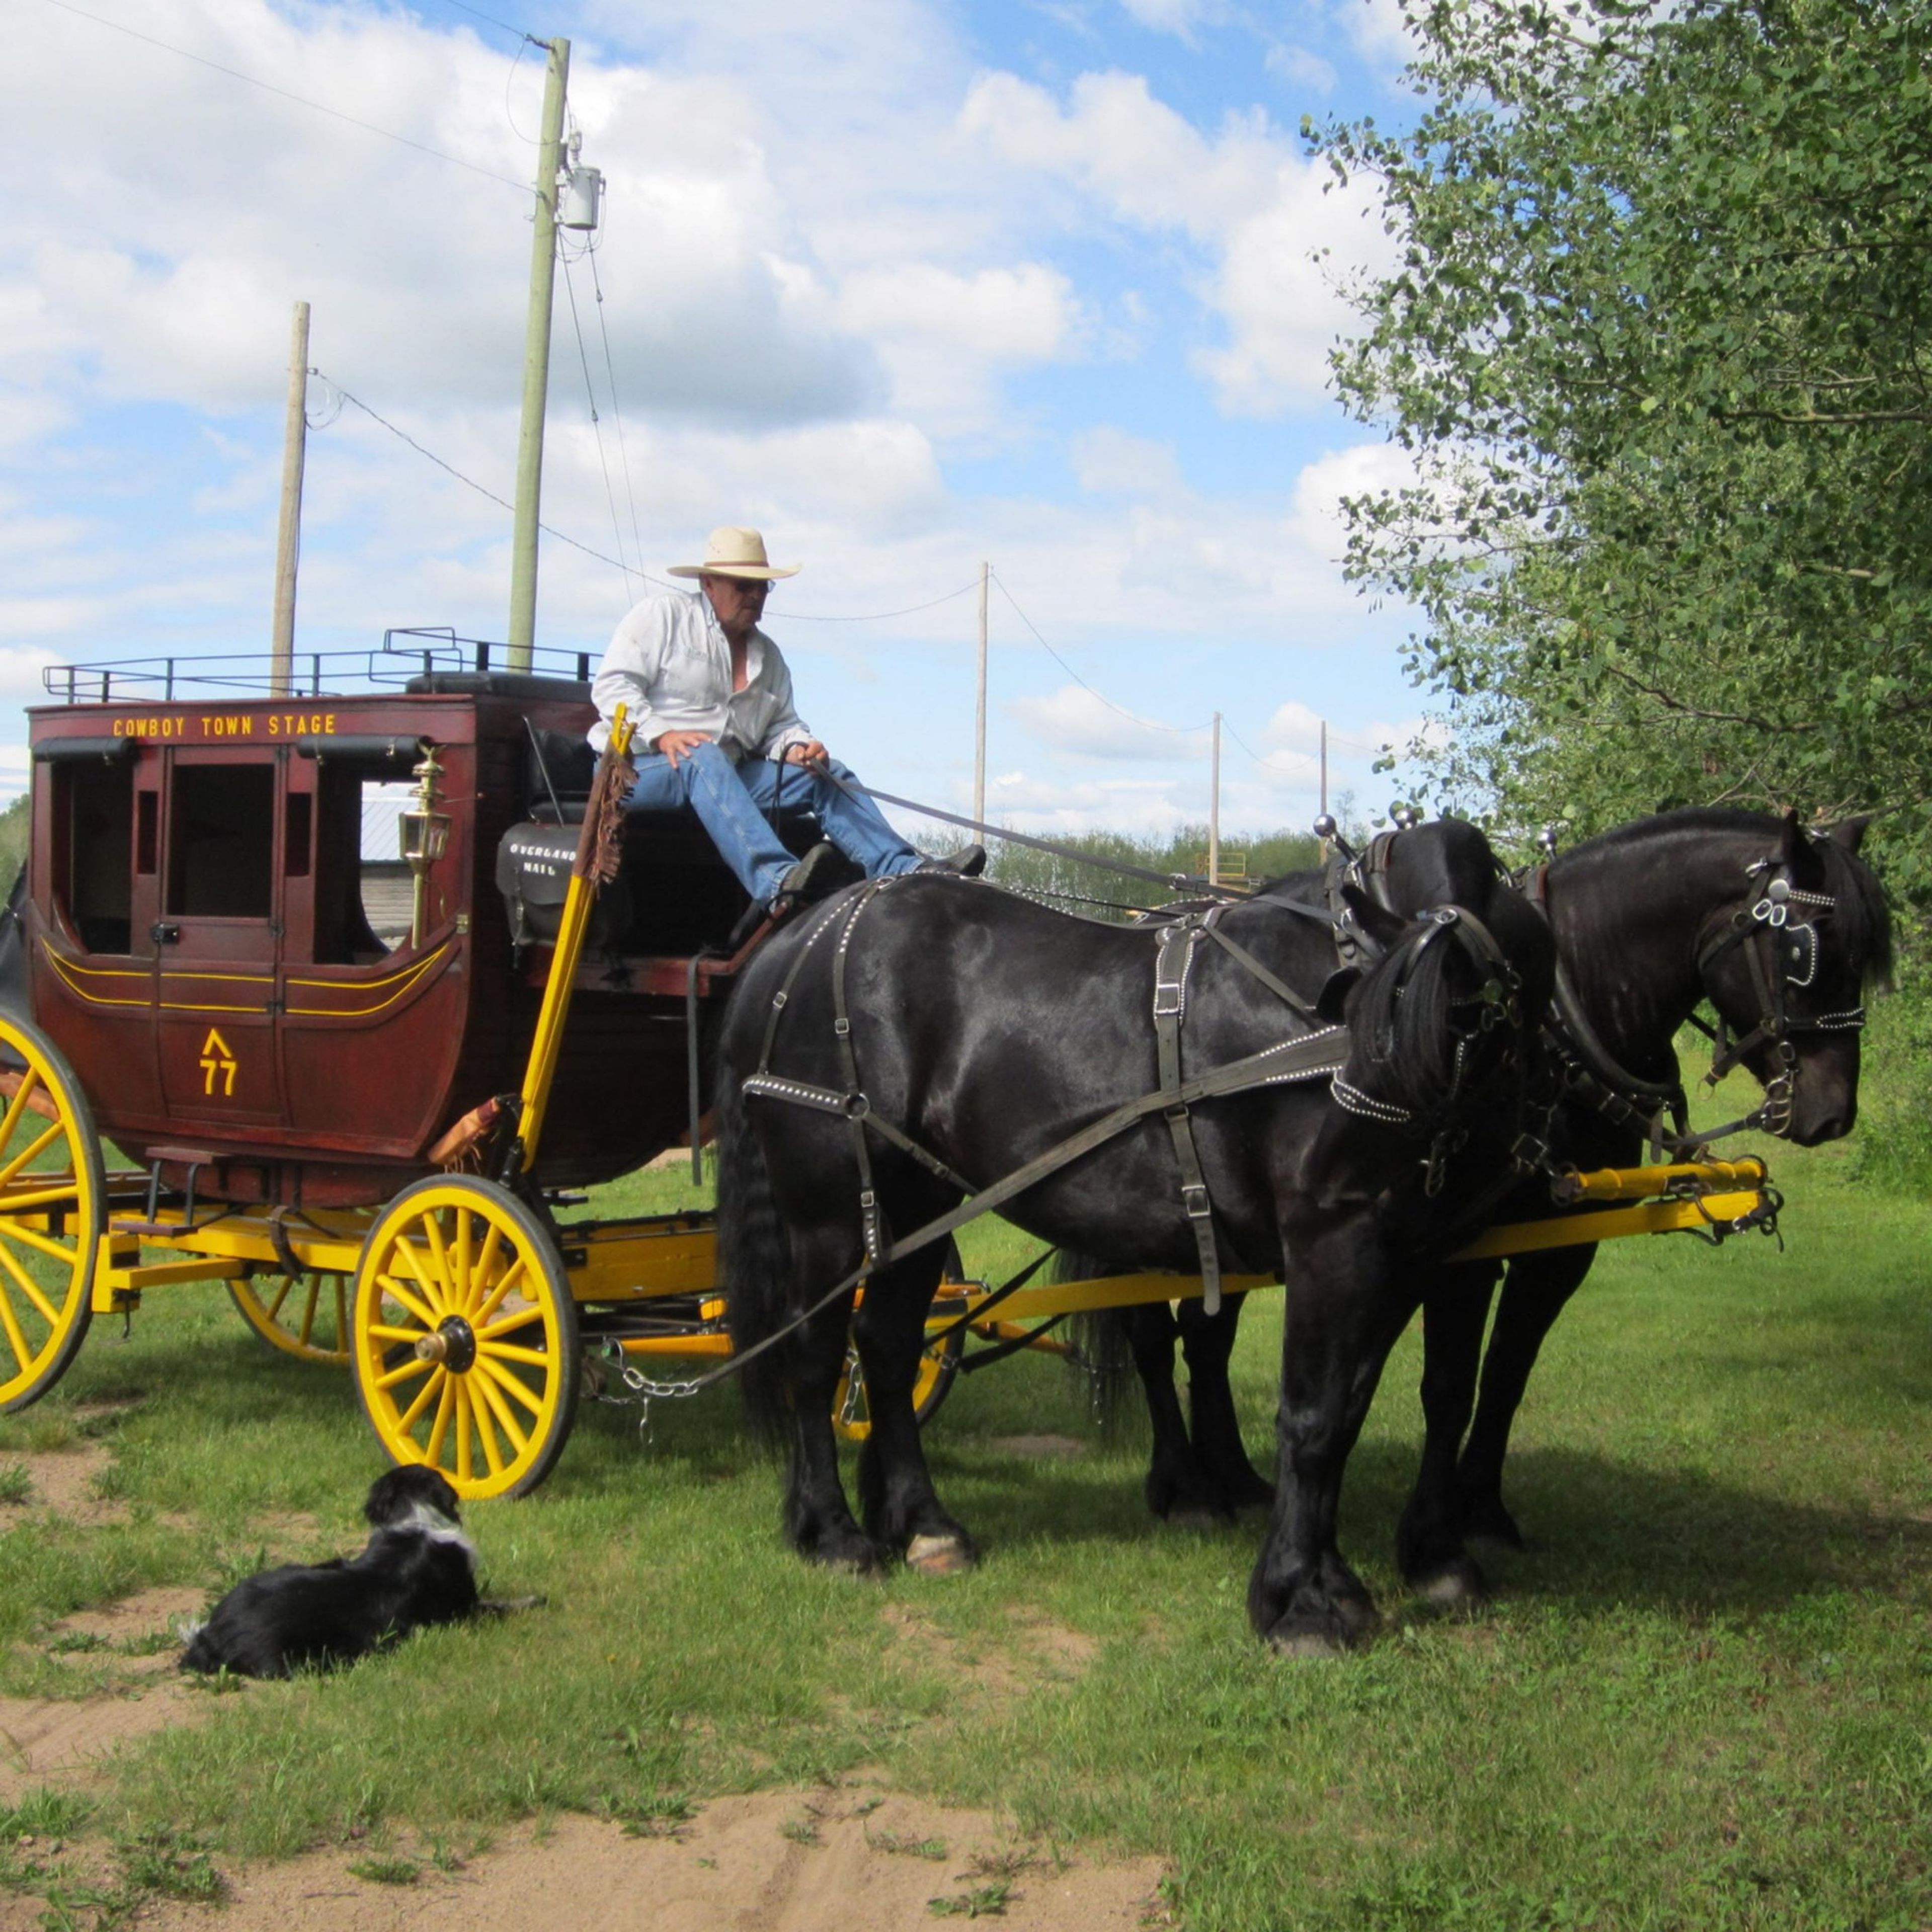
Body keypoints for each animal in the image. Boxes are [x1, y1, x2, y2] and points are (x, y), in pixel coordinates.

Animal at [722, 854, 1553, 1654]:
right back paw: (832, 1534)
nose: (1369, 1117)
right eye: (1421, 998)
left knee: (889, 1349)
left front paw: (1381, 1569)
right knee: (815, 1357)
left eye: (1492, 1009)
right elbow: (1314, 1418)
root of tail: (801, 939)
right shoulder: (1333, 1243)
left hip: (917, 1205)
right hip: (831, 1217)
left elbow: (1365, 1407)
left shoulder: (1416, 1256)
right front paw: (1301, 1602)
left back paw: (925, 1525)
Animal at [1097, 808, 1893, 1592]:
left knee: (1207, 1338)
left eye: (1864, 959)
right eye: (1806, 950)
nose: (1832, 1113)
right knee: (1152, 1336)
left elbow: (1497, 1375)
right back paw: (1186, 1485)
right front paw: (1434, 1541)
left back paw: (1233, 1475)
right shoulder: (1460, 1245)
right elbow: (1441, 1386)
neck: (1563, 1022)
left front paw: (1474, 1511)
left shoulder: (1556, 1245)